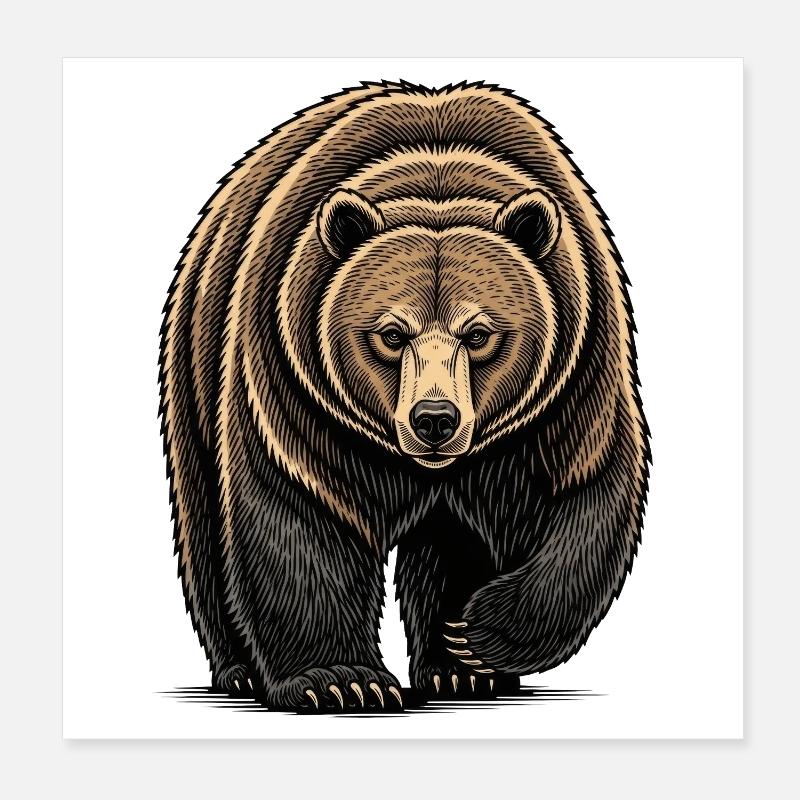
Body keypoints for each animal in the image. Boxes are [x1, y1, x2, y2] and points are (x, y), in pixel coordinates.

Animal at [159, 81, 650, 712]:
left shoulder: (569, 376)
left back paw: (458, 672)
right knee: (201, 516)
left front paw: (474, 636)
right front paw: (342, 679)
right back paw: (239, 670)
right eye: (392, 333)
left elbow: (585, 492)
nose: (434, 418)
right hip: (196, 349)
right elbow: (301, 506)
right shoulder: (298, 382)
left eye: (478, 332)